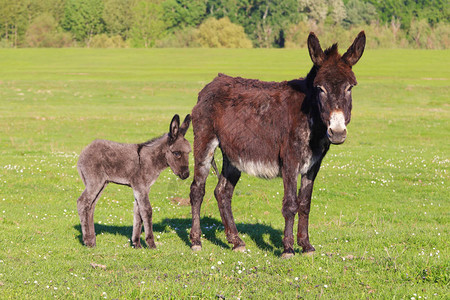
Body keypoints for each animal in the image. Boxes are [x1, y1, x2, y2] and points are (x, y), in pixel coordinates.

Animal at [76, 113, 191, 247]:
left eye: (189, 153)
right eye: (177, 153)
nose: (186, 175)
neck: (151, 160)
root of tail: (85, 150)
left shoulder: (142, 189)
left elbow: (138, 213)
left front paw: (137, 244)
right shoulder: (140, 187)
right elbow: (147, 211)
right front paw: (151, 244)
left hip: (102, 183)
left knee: (91, 206)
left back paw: (92, 240)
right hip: (95, 182)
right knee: (82, 202)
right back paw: (87, 241)